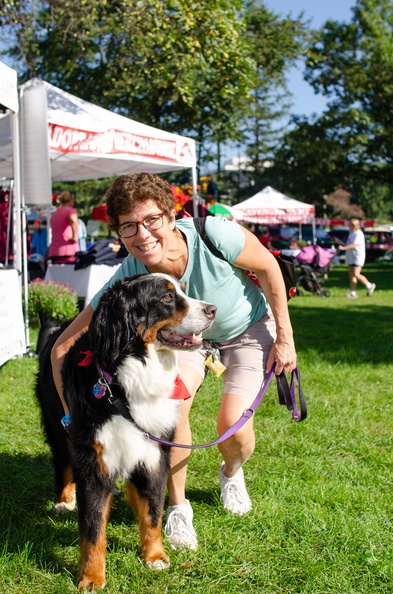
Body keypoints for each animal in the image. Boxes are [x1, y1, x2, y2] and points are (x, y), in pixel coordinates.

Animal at [35, 272, 216, 588]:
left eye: (183, 289)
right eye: (167, 297)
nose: (213, 309)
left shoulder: (154, 453)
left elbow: (152, 512)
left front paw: (155, 557)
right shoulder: (95, 459)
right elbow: (93, 526)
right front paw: (92, 577)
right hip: (60, 427)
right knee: (63, 463)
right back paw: (64, 500)